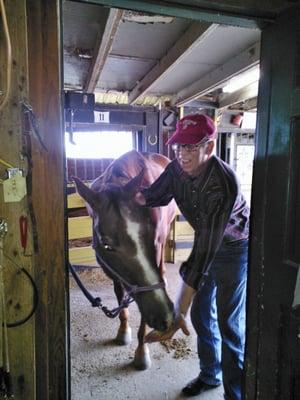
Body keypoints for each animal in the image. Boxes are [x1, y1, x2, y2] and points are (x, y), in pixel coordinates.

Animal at [73, 149, 177, 368]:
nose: (165, 316)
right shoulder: (113, 272)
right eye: (106, 245)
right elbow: (121, 296)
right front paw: (123, 332)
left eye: (151, 236)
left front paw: (142, 351)